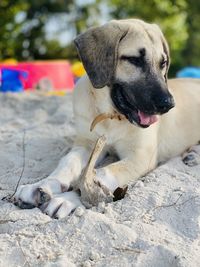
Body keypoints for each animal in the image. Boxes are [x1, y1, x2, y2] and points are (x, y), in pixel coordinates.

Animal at [13, 19, 200, 220]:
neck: (111, 116)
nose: (169, 104)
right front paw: (42, 185)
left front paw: (68, 199)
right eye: (135, 60)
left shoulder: (140, 157)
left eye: (163, 63)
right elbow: (68, 162)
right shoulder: (88, 143)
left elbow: (102, 174)